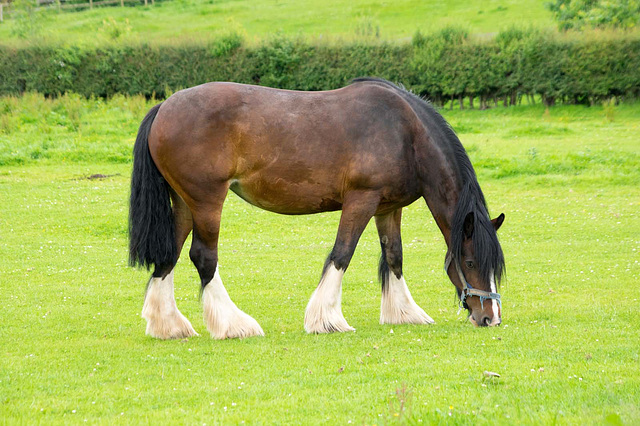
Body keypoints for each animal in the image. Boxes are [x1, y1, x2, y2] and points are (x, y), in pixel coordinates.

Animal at [129, 77, 504, 340]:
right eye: (471, 262)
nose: (490, 318)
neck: (406, 133)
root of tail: (164, 107)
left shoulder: (387, 207)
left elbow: (394, 256)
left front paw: (405, 314)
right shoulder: (361, 200)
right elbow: (342, 254)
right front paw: (327, 319)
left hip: (184, 203)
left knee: (169, 254)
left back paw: (169, 326)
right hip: (206, 200)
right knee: (204, 257)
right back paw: (234, 325)